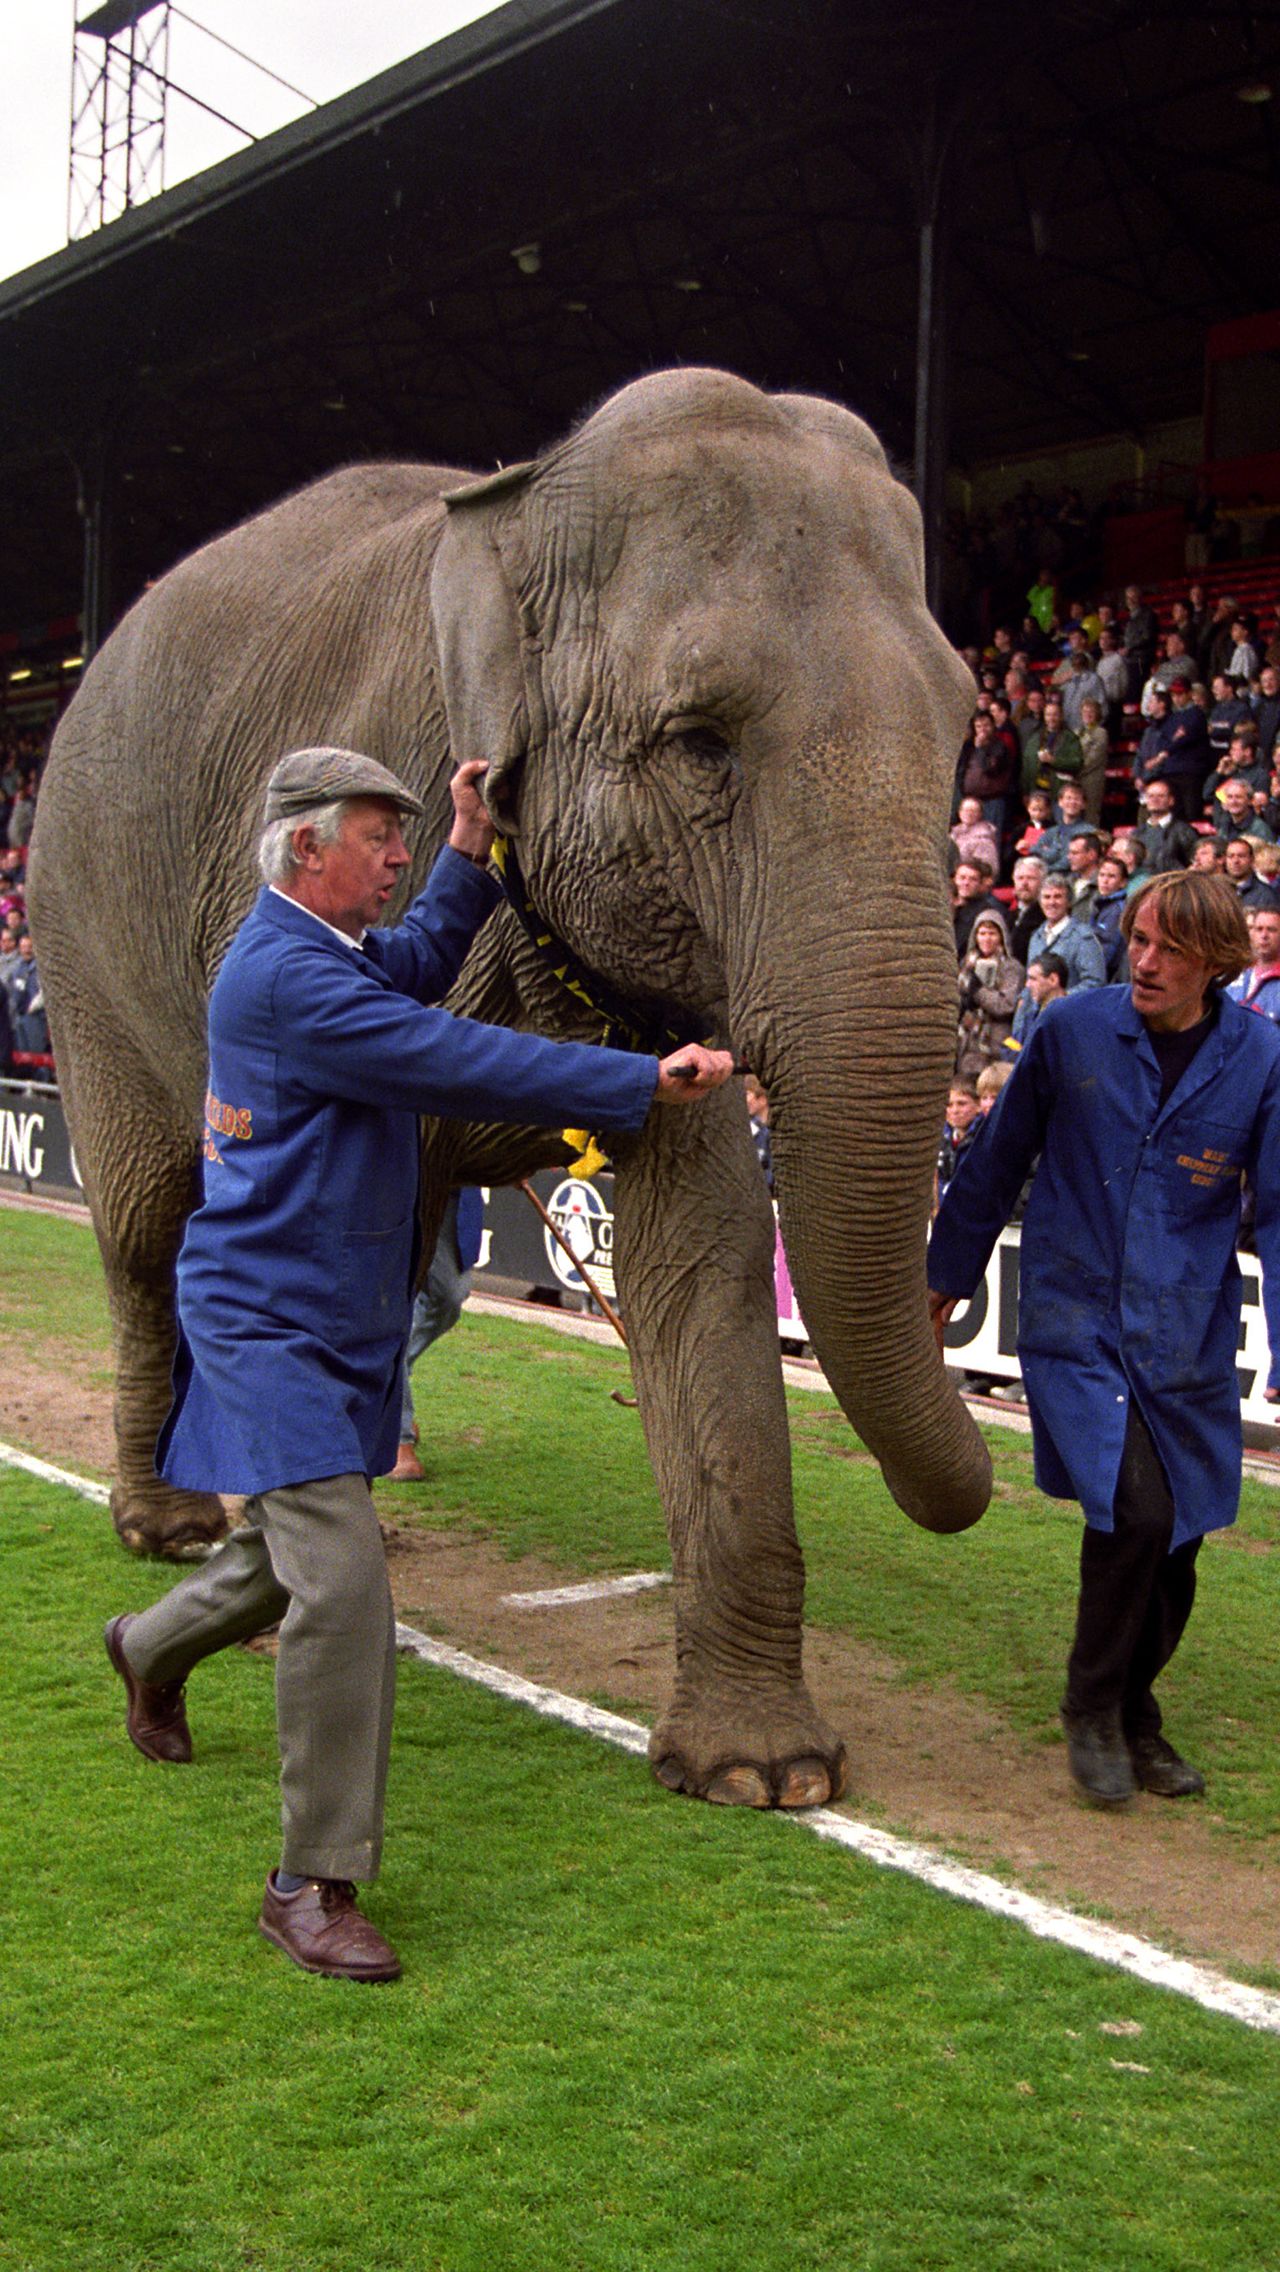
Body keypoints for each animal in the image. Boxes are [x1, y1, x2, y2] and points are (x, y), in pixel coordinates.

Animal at [27, 358, 991, 1808]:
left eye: (964, 734)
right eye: (700, 743)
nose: (988, 1472)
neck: (520, 505)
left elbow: (702, 1245)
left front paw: (763, 1776)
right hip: (78, 924)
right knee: (149, 1228)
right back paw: (172, 1531)